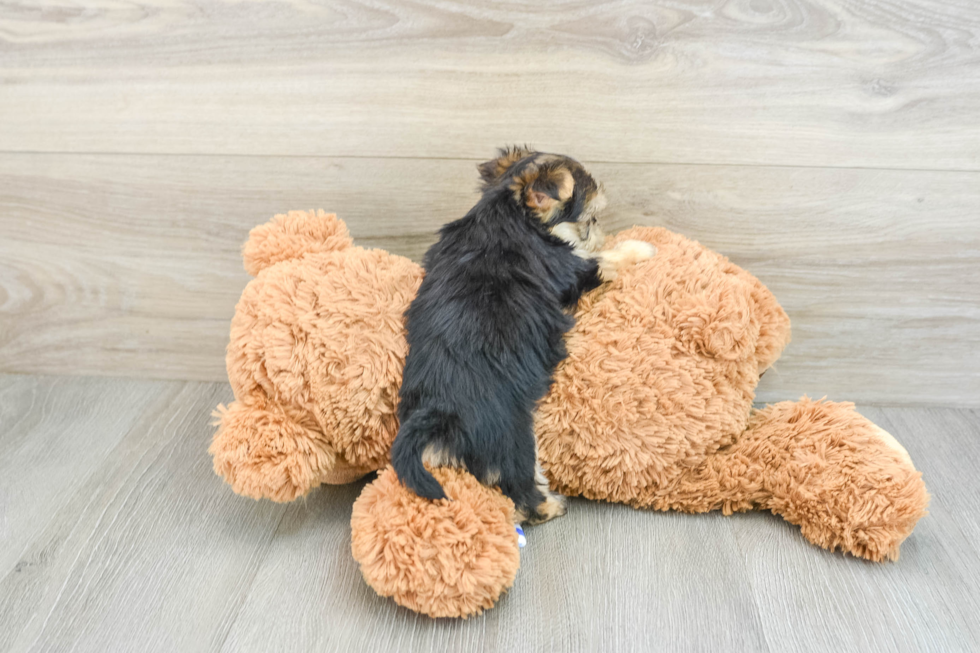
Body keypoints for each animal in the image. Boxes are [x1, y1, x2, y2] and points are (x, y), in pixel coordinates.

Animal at [392, 145, 660, 524]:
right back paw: (551, 504)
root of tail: (440, 412)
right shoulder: (574, 268)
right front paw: (641, 247)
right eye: (590, 219)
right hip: (512, 434)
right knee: (519, 486)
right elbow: (606, 259)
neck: (509, 211)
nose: (600, 231)